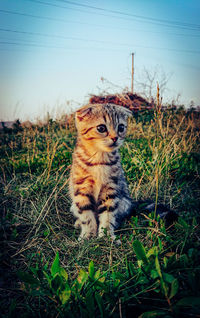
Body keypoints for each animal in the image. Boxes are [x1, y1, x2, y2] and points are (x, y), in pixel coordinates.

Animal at [69, 102, 138, 241]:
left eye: (121, 127)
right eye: (101, 128)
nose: (115, 138)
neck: (99, 159)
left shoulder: (111, 188)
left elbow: (108, 214)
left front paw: (106, 235)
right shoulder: (81, 189)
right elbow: (86, 214)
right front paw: (88, 235)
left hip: (124, 202)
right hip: (73, 204)